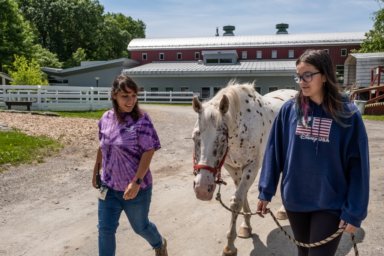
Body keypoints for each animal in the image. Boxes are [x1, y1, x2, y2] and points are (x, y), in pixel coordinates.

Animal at [192, 82, 296, 256]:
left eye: (222, 138)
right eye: (195, 137)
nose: (202, 189)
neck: (242, 127)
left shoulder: (252, 167)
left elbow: (236, 201)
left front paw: (230, 246)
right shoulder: (233, 168)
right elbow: (242, 196)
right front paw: (246, 226)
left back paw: (282, 211)